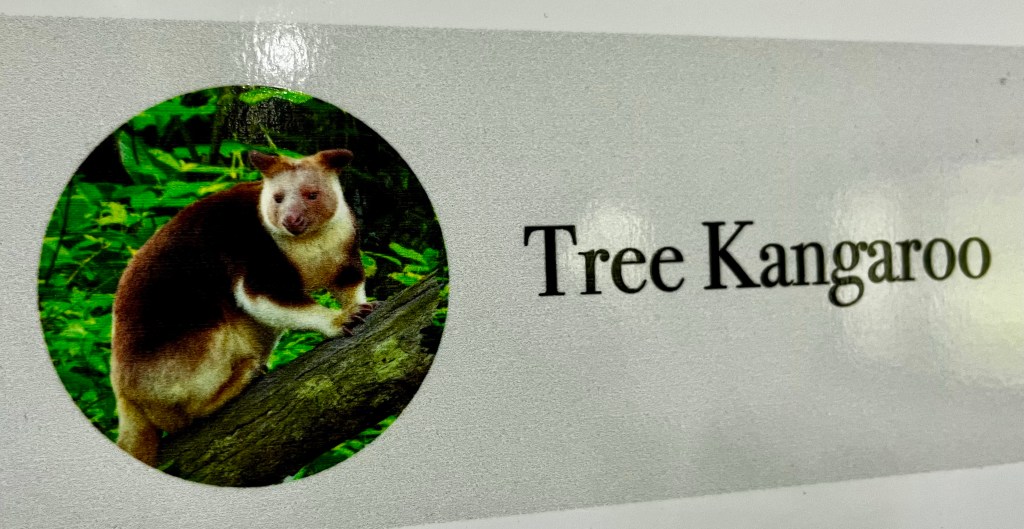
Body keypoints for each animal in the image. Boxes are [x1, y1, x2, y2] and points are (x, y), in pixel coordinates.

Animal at [110, 148, 374, 466]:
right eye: (277, 198)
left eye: (312, 194)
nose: (291, 221)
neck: (308, 240)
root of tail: (125, 396)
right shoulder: (247, 247)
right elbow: (261, 296)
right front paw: (340, 320)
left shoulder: (343, 240)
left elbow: (349, 281)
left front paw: (362, 304)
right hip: (174, 356)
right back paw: (241, 377)